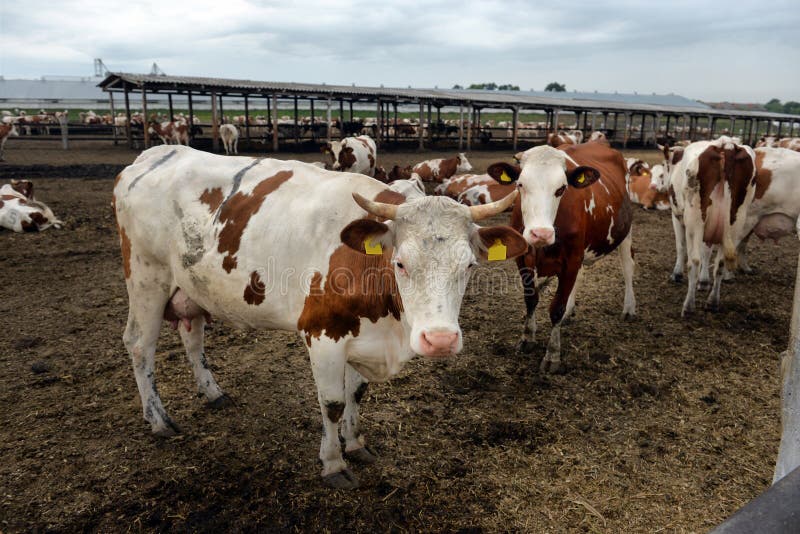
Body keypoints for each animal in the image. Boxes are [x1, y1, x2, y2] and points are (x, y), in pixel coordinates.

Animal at [112, 146, 524, 490]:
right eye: (400, 263)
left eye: (469, 265)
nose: (439, 340)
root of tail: (152, 155)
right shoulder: (323, 334)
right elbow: (333, 403)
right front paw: (333, 463)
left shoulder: (364, 335)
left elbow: (356, 393)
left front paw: (355, 443)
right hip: (147, 278)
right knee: (139, 345)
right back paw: (158, 420)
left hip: (191, 286)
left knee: (192, 334)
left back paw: (213, 393)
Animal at [484, 144, 636, 374]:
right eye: (520, 185)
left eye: (561, 189)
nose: (541, 233)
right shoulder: (524, 259)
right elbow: (531, 299)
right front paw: (527, 338)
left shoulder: (571, 260)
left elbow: (556, 308)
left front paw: (552, 355)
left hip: (625, 232)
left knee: (628, 267)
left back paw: (629, 308)